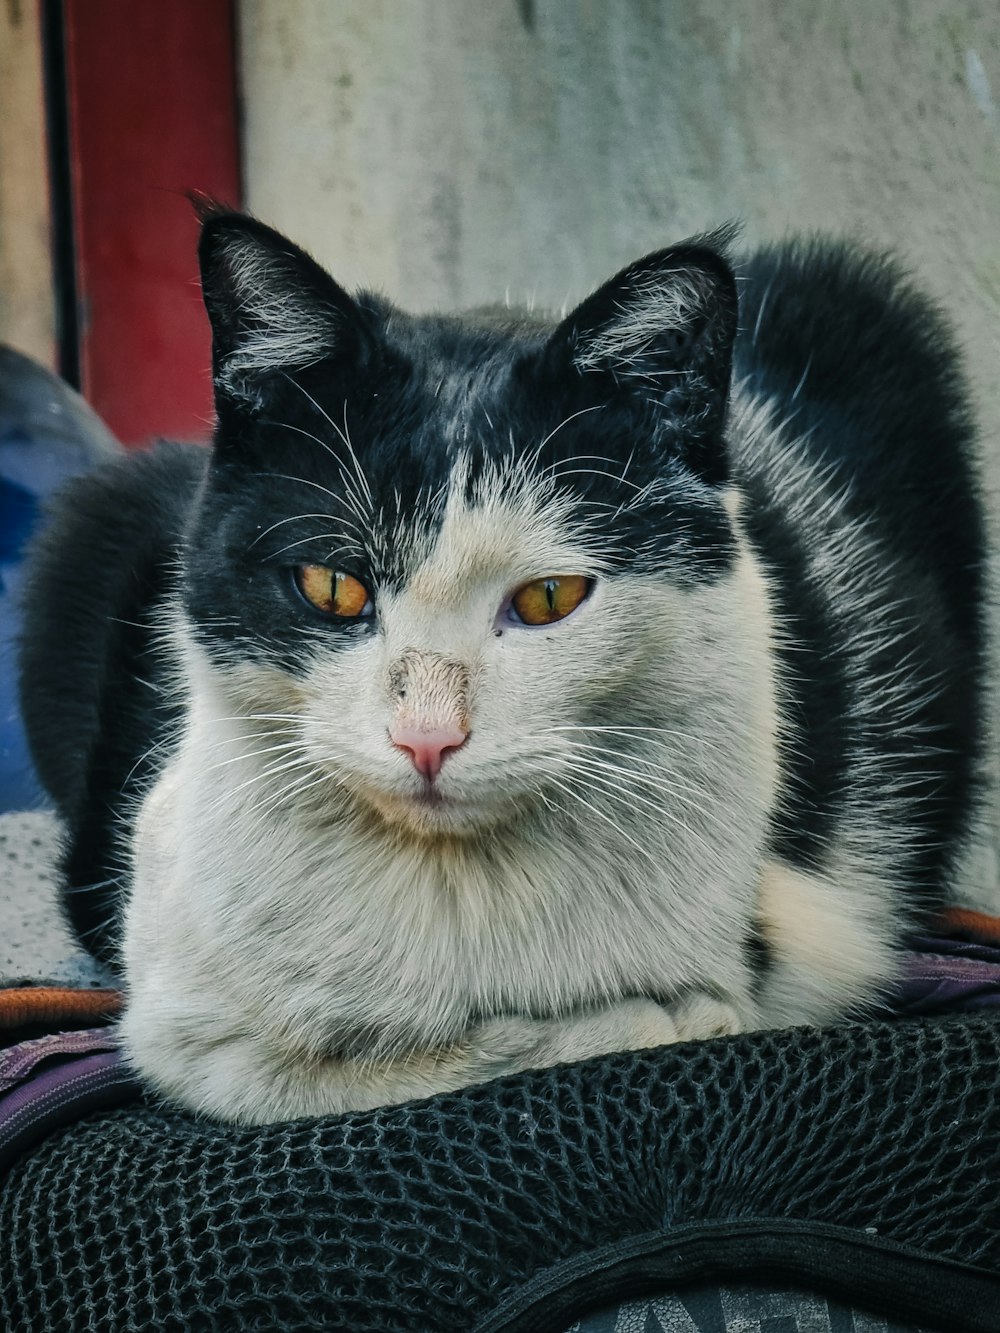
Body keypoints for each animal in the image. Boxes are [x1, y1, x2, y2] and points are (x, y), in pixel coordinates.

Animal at [15, 207, 986, 1125]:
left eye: (550, 597)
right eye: (333, 586)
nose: (427, 738)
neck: (452, 901)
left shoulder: (817, 931)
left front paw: (662, 1011)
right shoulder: (180, 1019)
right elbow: (318, 1070)